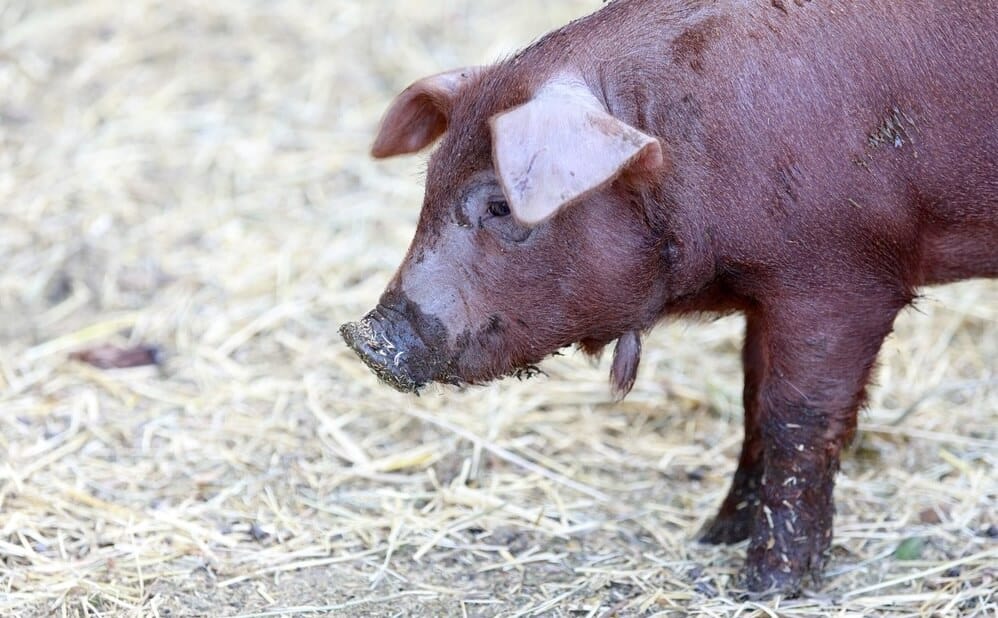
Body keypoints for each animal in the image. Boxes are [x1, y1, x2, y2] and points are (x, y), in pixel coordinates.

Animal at [340, 1, 996, 596]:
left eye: (501, 205)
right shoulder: (769, 295)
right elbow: (752, 402)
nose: (366, 337)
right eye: (429, 186)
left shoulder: (844, 279)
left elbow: (797, 418)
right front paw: (713, 535)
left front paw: (766, 586)